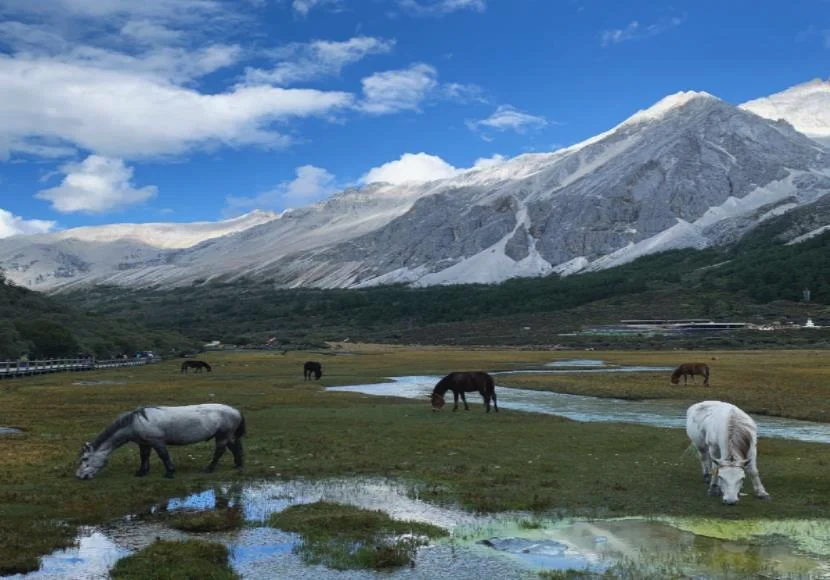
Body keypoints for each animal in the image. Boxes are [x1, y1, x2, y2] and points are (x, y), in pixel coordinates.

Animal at [76, 404, 245, 480]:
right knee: (235, 447)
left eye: (85, 458)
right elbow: (144, 457)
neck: (135, 423)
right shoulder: (144, 443)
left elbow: (164, 456)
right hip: (226, 436)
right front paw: (142, 472)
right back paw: (238, 464)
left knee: (220, 451)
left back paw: (209, 469)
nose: (79, 476)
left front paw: (169, 472)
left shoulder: (157, 442)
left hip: (222, 436)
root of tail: (236, 411)